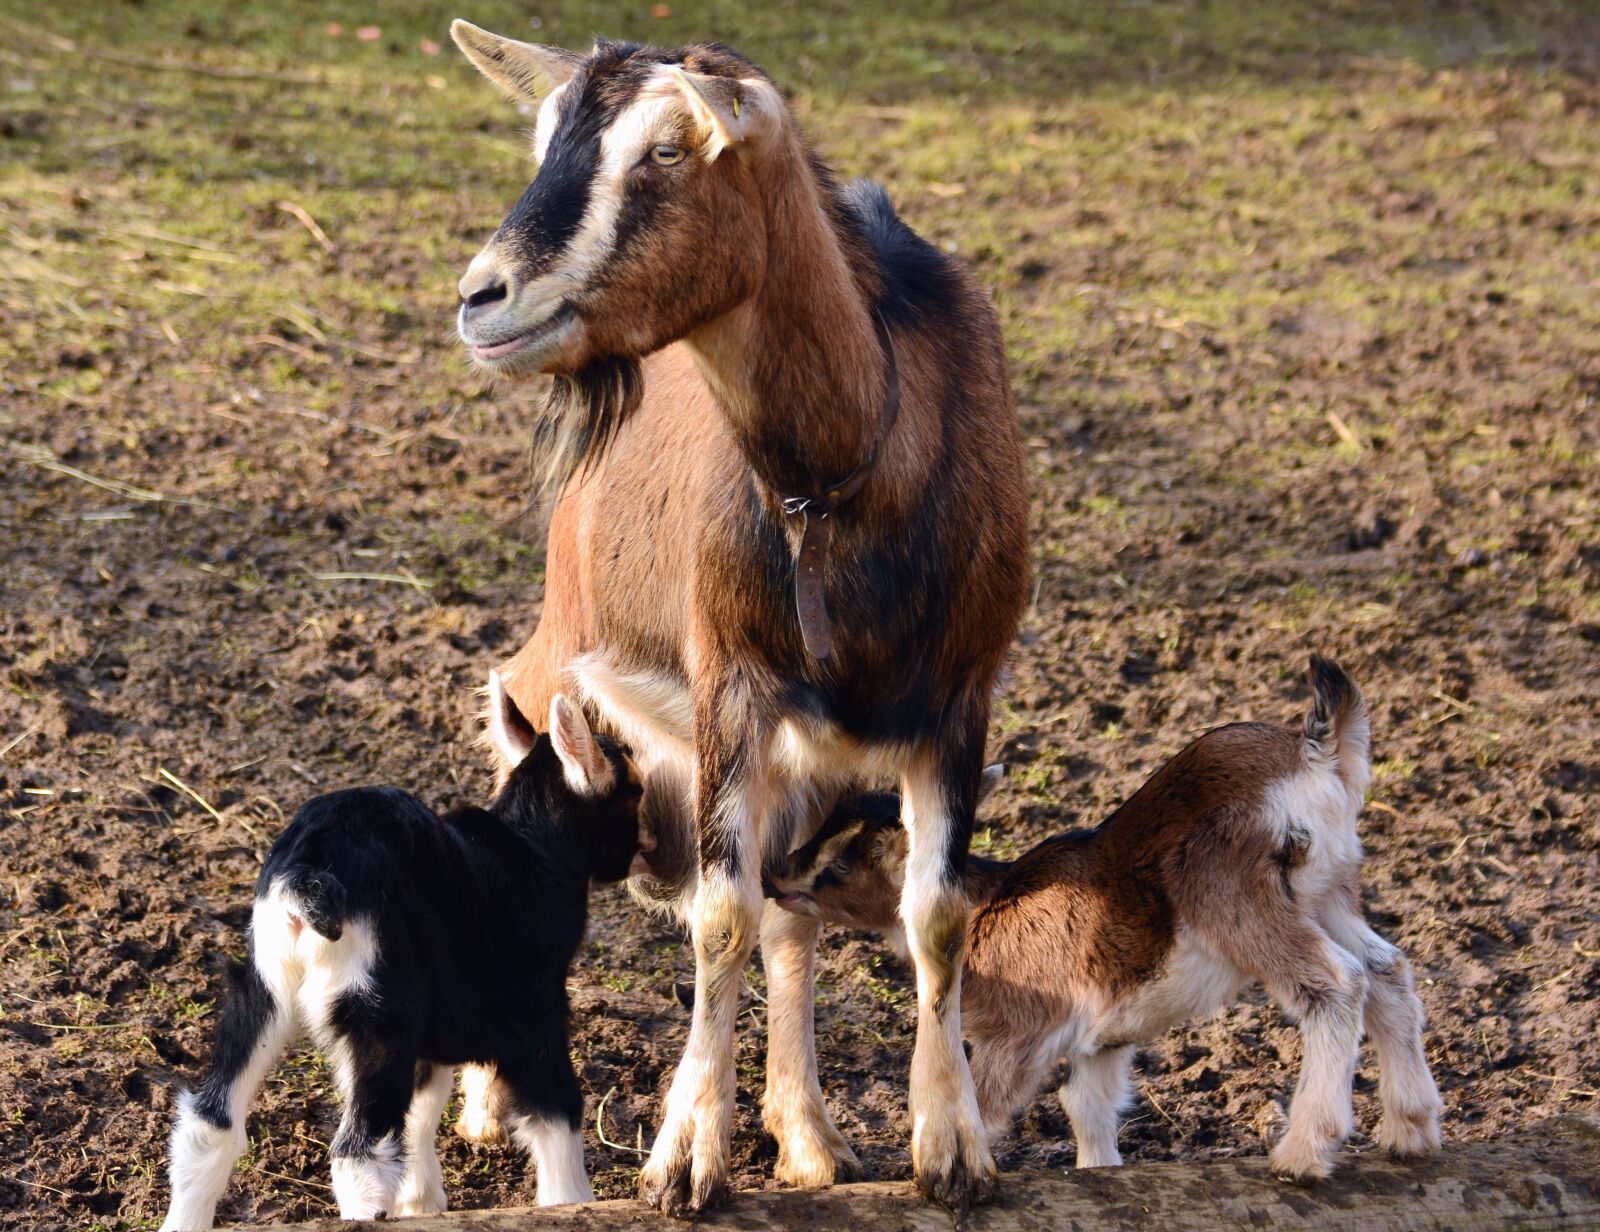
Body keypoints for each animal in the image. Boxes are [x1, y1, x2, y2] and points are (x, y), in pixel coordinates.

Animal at [158, 678, 642, 1230]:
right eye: (635, 790)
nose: (645, 854)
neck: (533, 848)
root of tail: (309, 874)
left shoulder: (432, 1029)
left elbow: (421, 1110)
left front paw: (421, 1203)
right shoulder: (536, 1015)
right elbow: (558, 1117)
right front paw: (573, 1204)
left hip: (262, 989)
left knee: (209, 1124)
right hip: (377, 1010)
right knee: (357, 1154)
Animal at [449, 22, 1029, 1211]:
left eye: (668, 151)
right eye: (543, 137)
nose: (482, 298)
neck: (852, 475)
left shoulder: (959, 697)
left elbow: (932, 916)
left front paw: (949, 1148)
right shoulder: (730, 681)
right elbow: (721, 915)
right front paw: (683, 1159)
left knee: (790, 917)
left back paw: (808, 1134)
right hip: (557, 655)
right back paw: (485, 1108)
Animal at [767, 659, 1443, 1181]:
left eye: (842, 865)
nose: (777, 875)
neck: (987, 905)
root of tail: (1313, 755)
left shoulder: (1023, 1030)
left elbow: (981, 1102)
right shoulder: (1102, 1039)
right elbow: (1088, 1108)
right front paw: (1101, 1172)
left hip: (1233, 893)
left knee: (1337, 983)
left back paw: (1302, 1155)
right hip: (1328, 891)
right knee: (1387, 969)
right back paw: (1410, 1130)